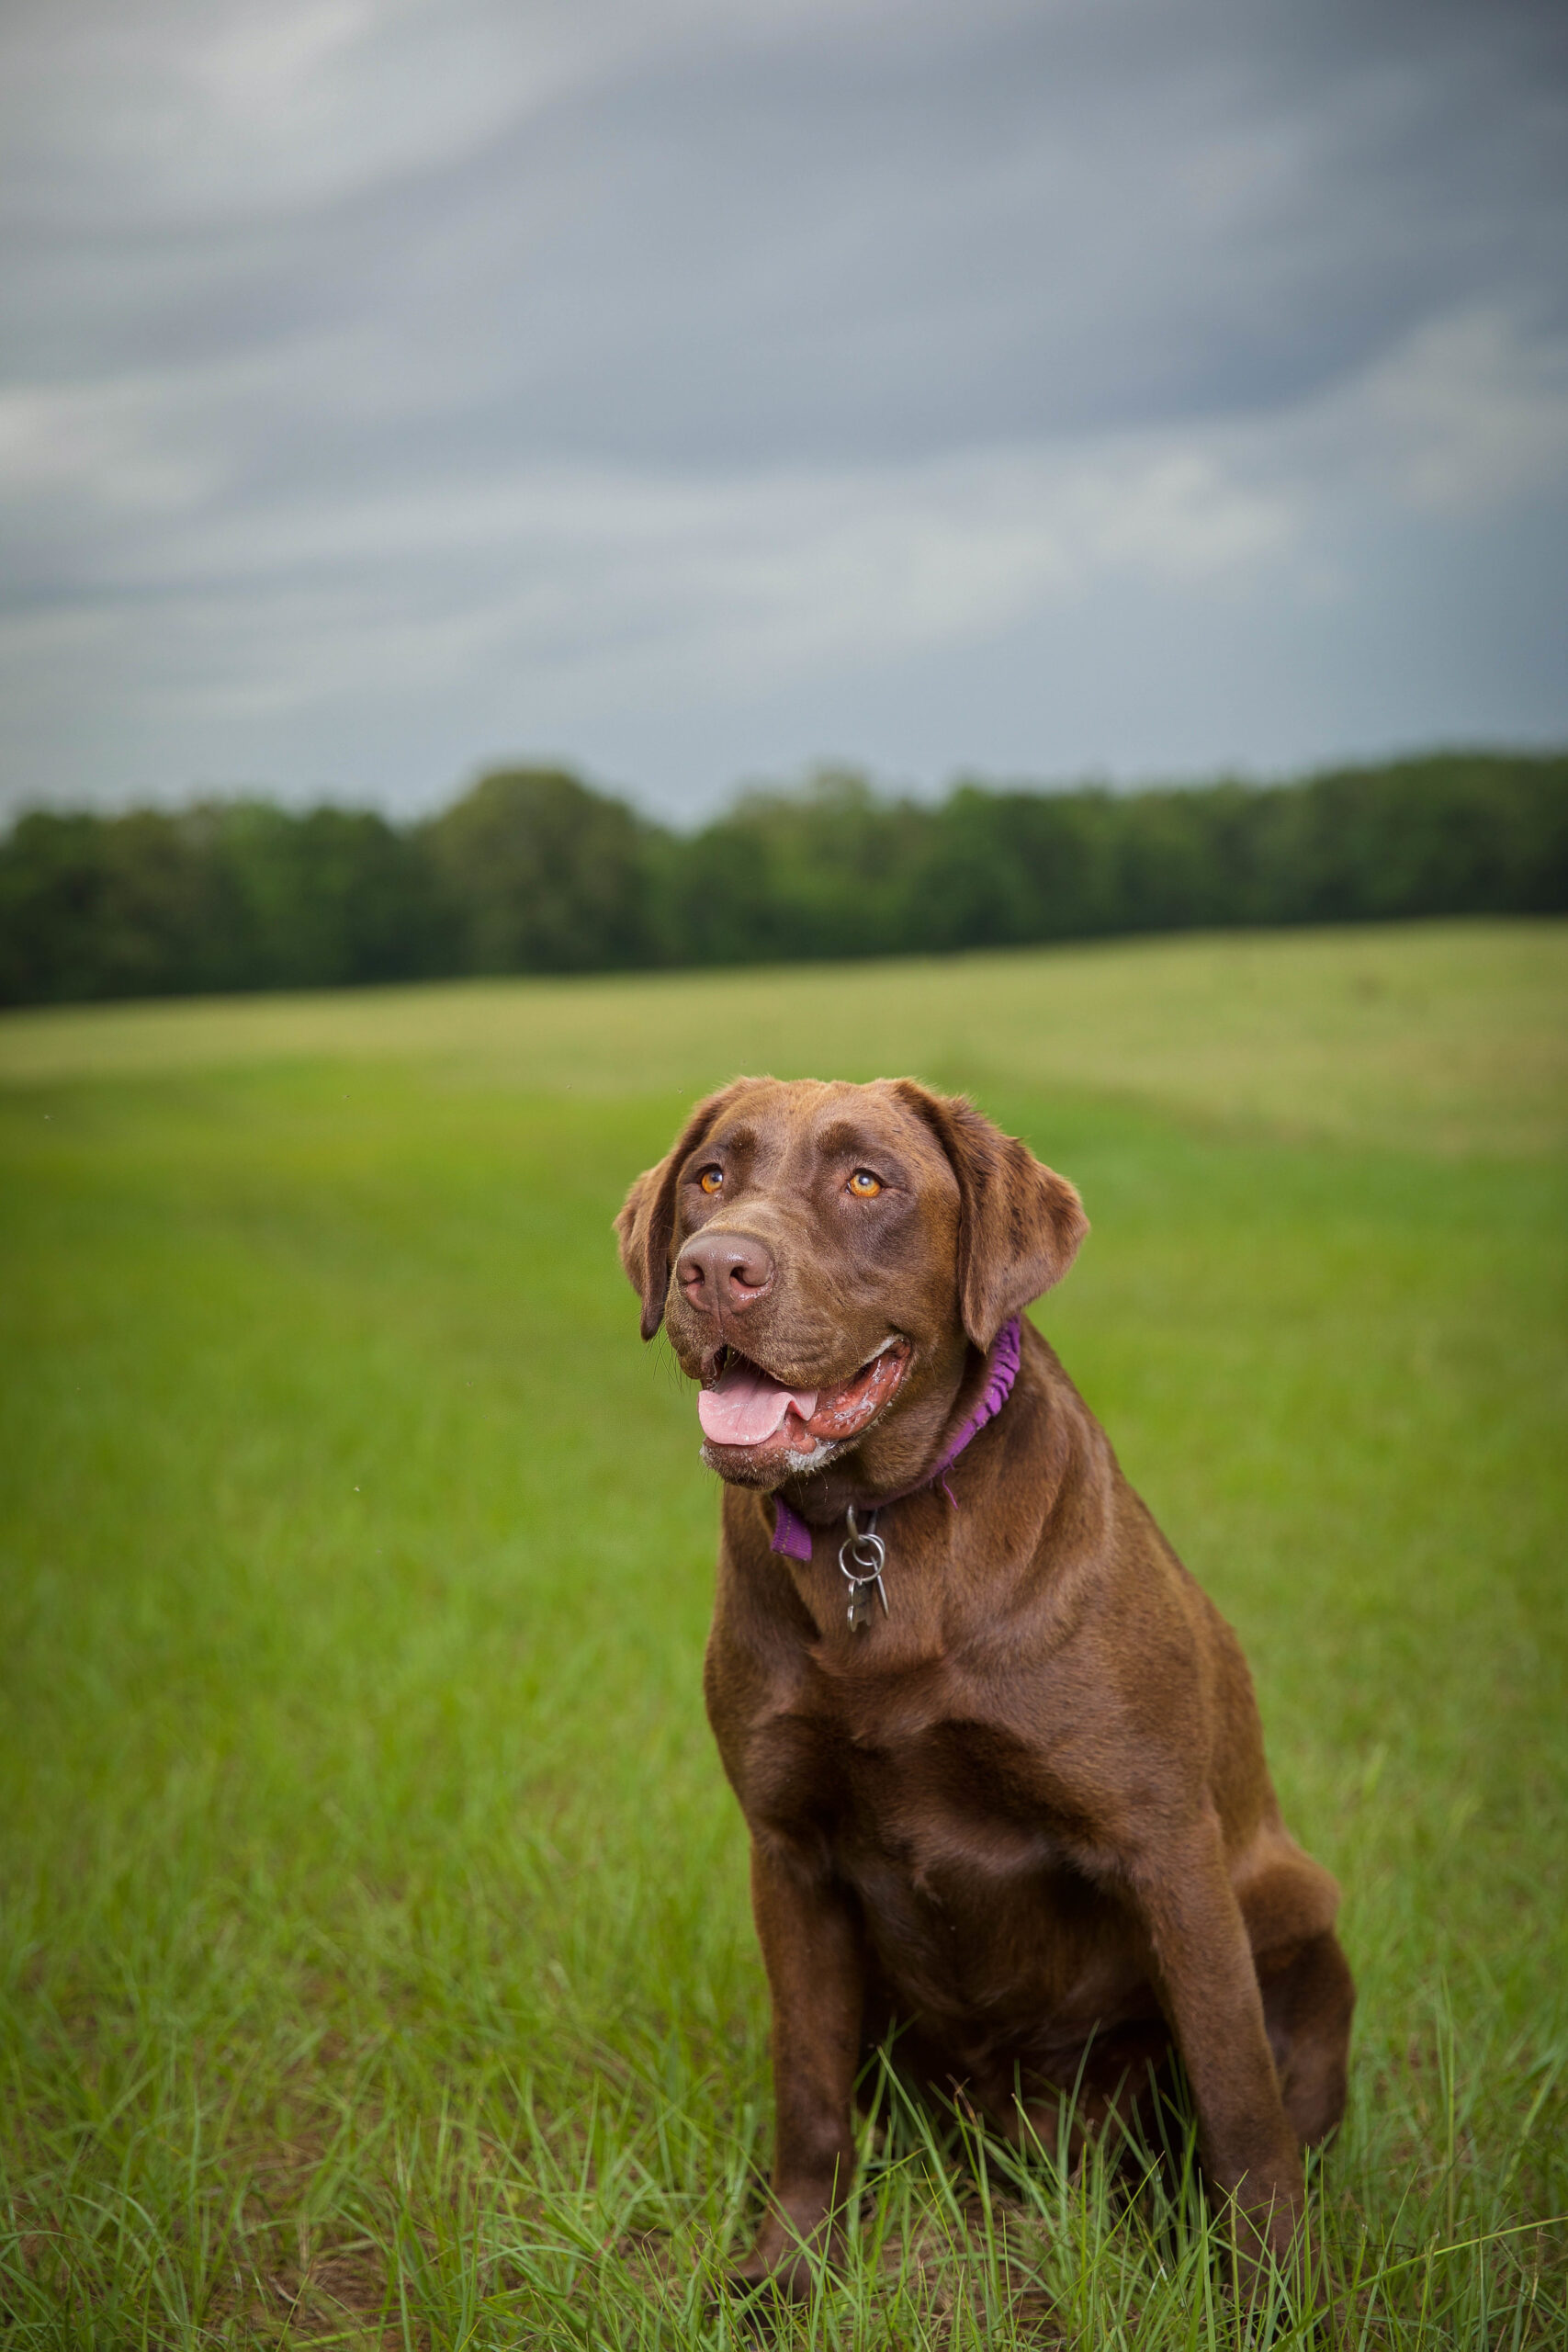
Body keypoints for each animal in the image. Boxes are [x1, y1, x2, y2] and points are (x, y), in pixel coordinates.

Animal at [620, 1081, 1354, 2295]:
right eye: (711, 1177)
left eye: (867, 1181)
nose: (715, 1267)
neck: (875, 1530)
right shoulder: (789, 1851)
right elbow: (806, 2090)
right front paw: (788, 2272)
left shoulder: (1166, 1845)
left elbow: (1238, 2098)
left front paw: (1272, 2295)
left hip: (1301, 1932)